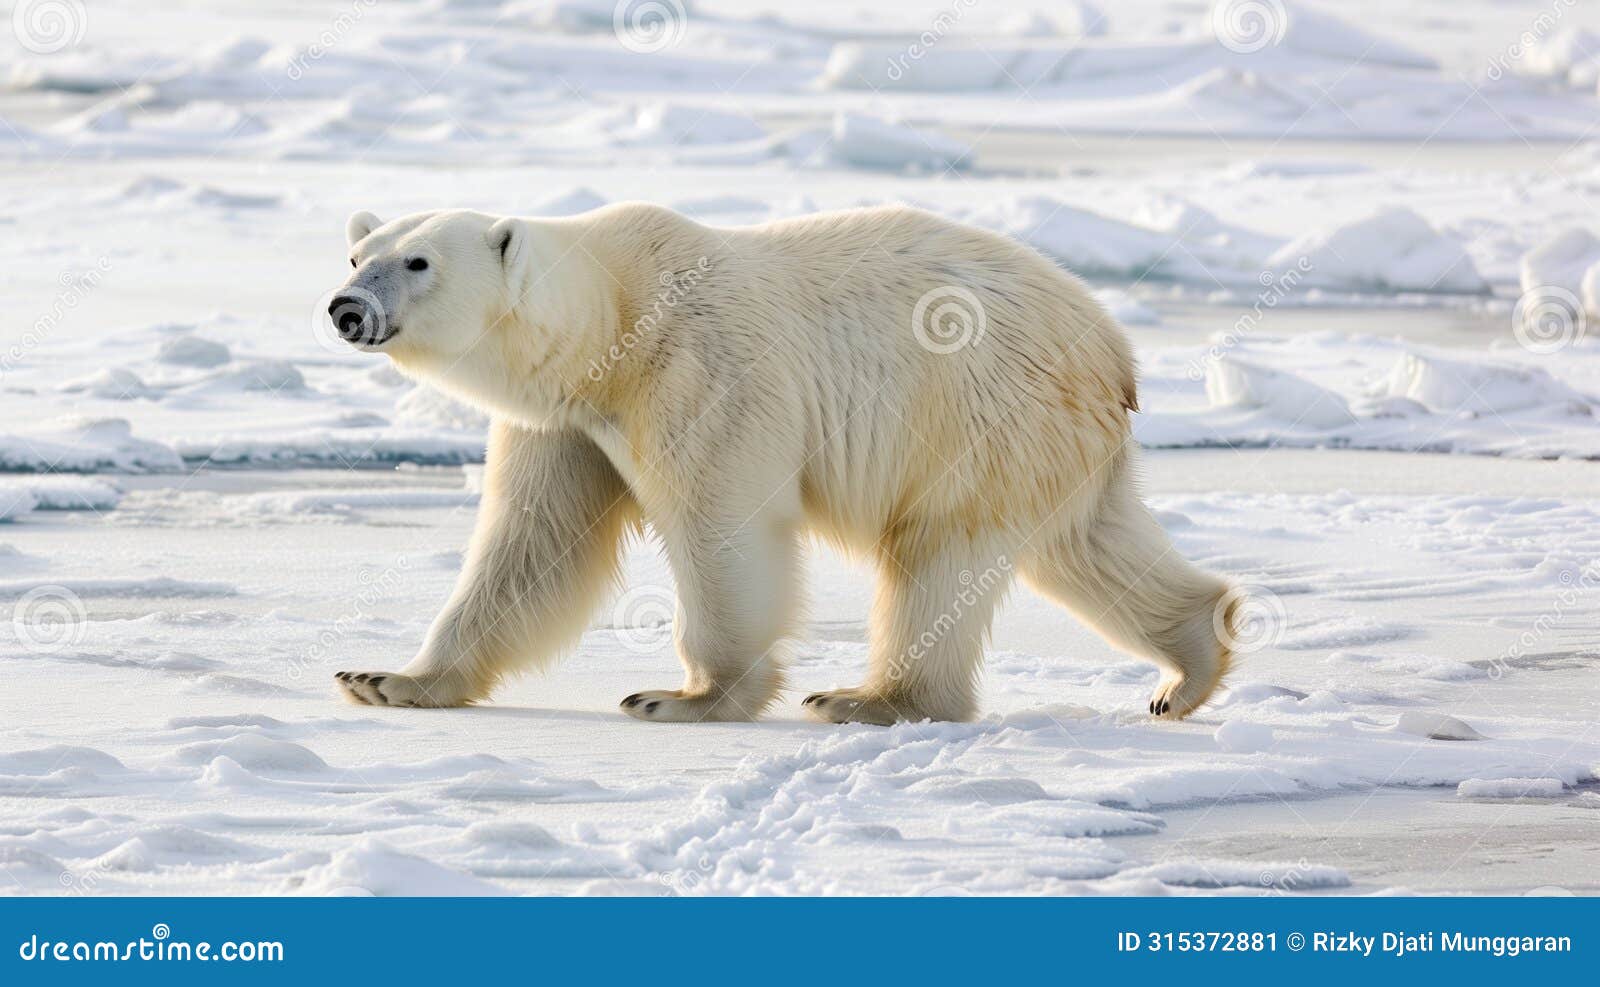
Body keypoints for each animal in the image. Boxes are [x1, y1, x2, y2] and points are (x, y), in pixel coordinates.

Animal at [331, 202, 1241, 723]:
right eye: (357, 254)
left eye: (418, 261)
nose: (347, 307)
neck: (614, 319)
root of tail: (1113, 351)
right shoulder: (569, 424)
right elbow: (532, 543)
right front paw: (385, 677)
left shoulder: (698, 373)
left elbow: (721, 528)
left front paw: (686, 695)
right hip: (1049, 439)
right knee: (1087, 544)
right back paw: (1188, 665)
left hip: (975, 412)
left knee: (937, 555)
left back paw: (868, 698)